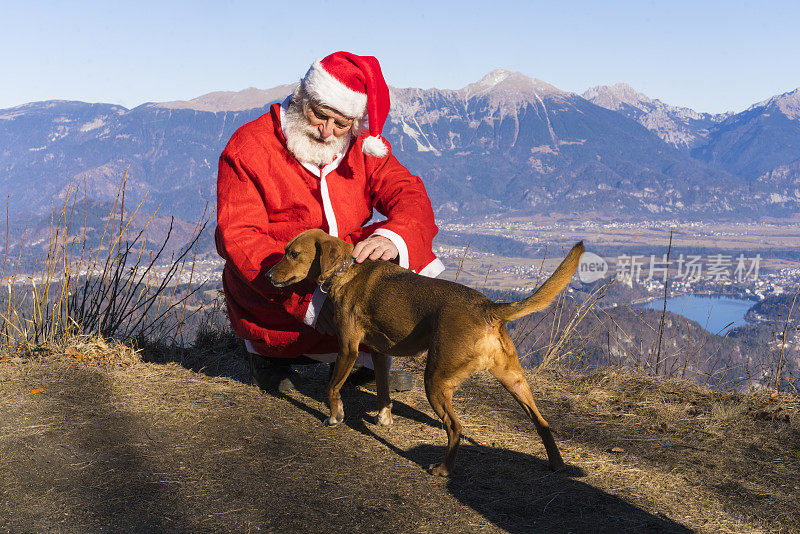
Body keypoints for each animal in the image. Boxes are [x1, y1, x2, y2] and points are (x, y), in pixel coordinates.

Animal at [266, 230, 584, 478]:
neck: (347, 270)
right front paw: (384, 417)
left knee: (455, 427)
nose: (267, 274)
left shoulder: (348, 349)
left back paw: (442, 469)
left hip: (435, 381)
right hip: (514, 380)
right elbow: (382, 390)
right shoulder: (379, 352)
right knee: (542, 423)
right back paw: (557, 464)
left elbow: (332, 388)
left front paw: (335, 416)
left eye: (293, 254)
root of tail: (488, 308)